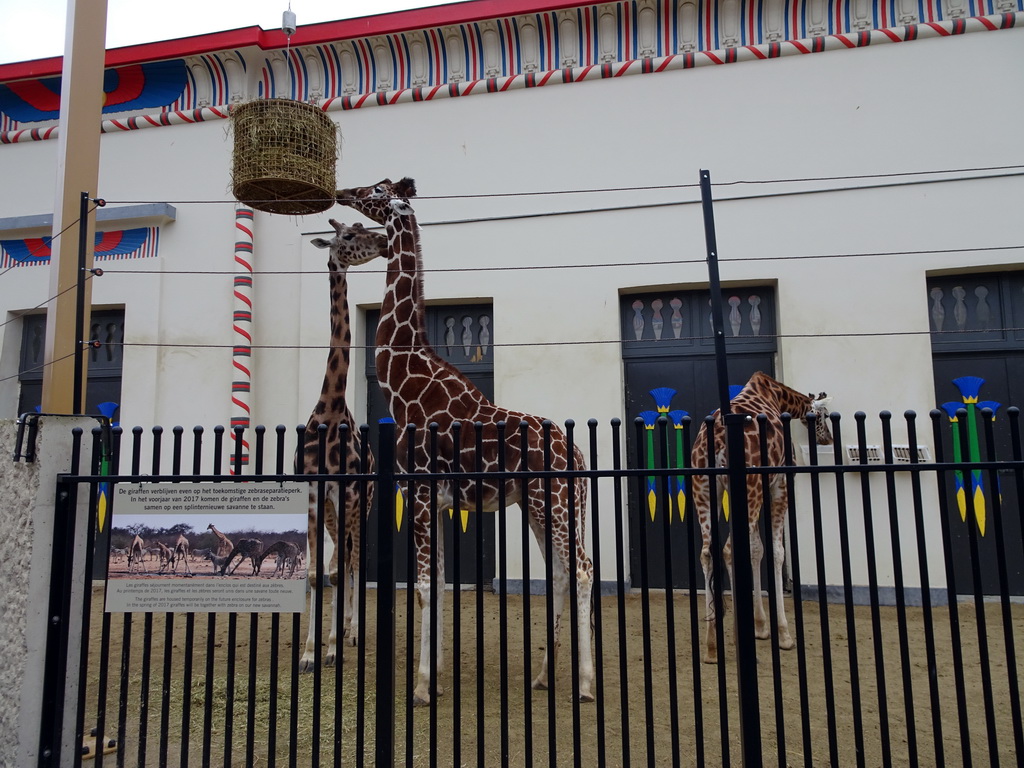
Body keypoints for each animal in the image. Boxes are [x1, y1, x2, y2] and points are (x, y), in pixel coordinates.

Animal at [333, 177, 593, 708]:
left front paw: (420, 686)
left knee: (581, 570)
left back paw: (583, 685)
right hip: (542, 507)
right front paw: (434, 674)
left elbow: (424, 586)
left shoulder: (419, 493)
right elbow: (439, 585)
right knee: (561, 573)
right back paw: (542, 676)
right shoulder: (438, 501)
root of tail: (577, 453)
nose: (343, 191)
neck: (406, 385)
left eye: (375, 191)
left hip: (554, 505)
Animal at [688, 370, 831, 663]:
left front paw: (760, 626)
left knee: (708, 552)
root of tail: (715, 443)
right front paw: (783, 634)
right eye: (824, 415)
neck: (777, 395)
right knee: (729, 549)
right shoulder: (781, 484)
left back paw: (711, 646)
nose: (829, 440)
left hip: (704, 489)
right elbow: (775, 552)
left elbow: (756, 549)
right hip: (748, 487)